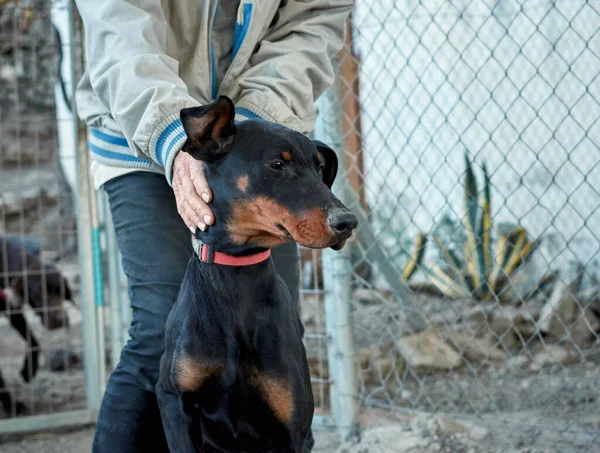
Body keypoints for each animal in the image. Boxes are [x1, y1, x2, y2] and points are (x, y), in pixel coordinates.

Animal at [0, 235, 71, 414]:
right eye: (39, 292)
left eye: (61, 291)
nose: (61, 318)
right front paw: (10, 405)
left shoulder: (13, 310)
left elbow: (34, 342)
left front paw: (28, 371)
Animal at [157, 97, 358, 450]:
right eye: (277, 165)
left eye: (320, 169)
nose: (347, 222)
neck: (236, 275)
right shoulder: (174, 402)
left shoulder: (291, 425)